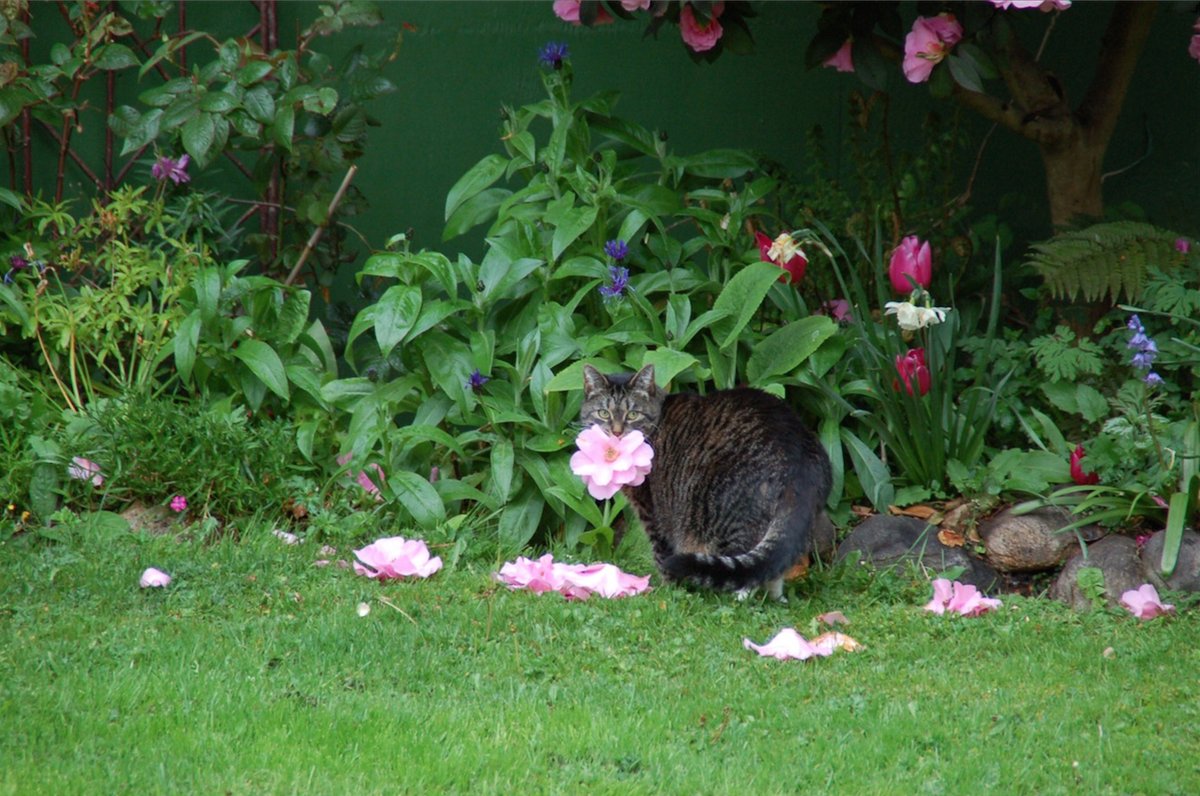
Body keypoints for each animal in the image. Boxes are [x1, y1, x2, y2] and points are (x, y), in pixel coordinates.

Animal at [583, 364, 835, 600]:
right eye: (604, 413)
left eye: (633, 415)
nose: (617, 433)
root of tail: (798, 454)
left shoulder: (651, 512)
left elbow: (661, 555)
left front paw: (666, 591)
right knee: (772, 563)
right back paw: (775, 598)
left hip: (726, 515)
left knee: (745, 569)